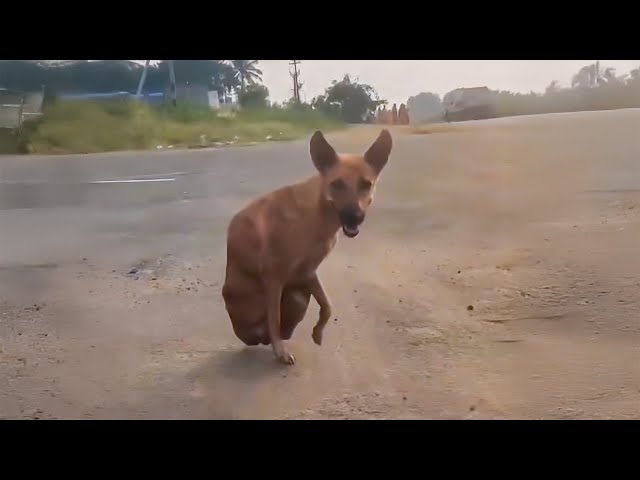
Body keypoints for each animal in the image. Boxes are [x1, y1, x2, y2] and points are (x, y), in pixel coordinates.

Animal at [221, 128, 390, 364]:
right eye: (336, 184)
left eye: (366, 184)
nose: (355, 217)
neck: (317, 215)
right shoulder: (273, 276)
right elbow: (274, 317)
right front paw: (280, 352)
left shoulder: (308, 272)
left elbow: (327, 306)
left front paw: (318, 333)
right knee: (262, 329)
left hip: (298, 297)